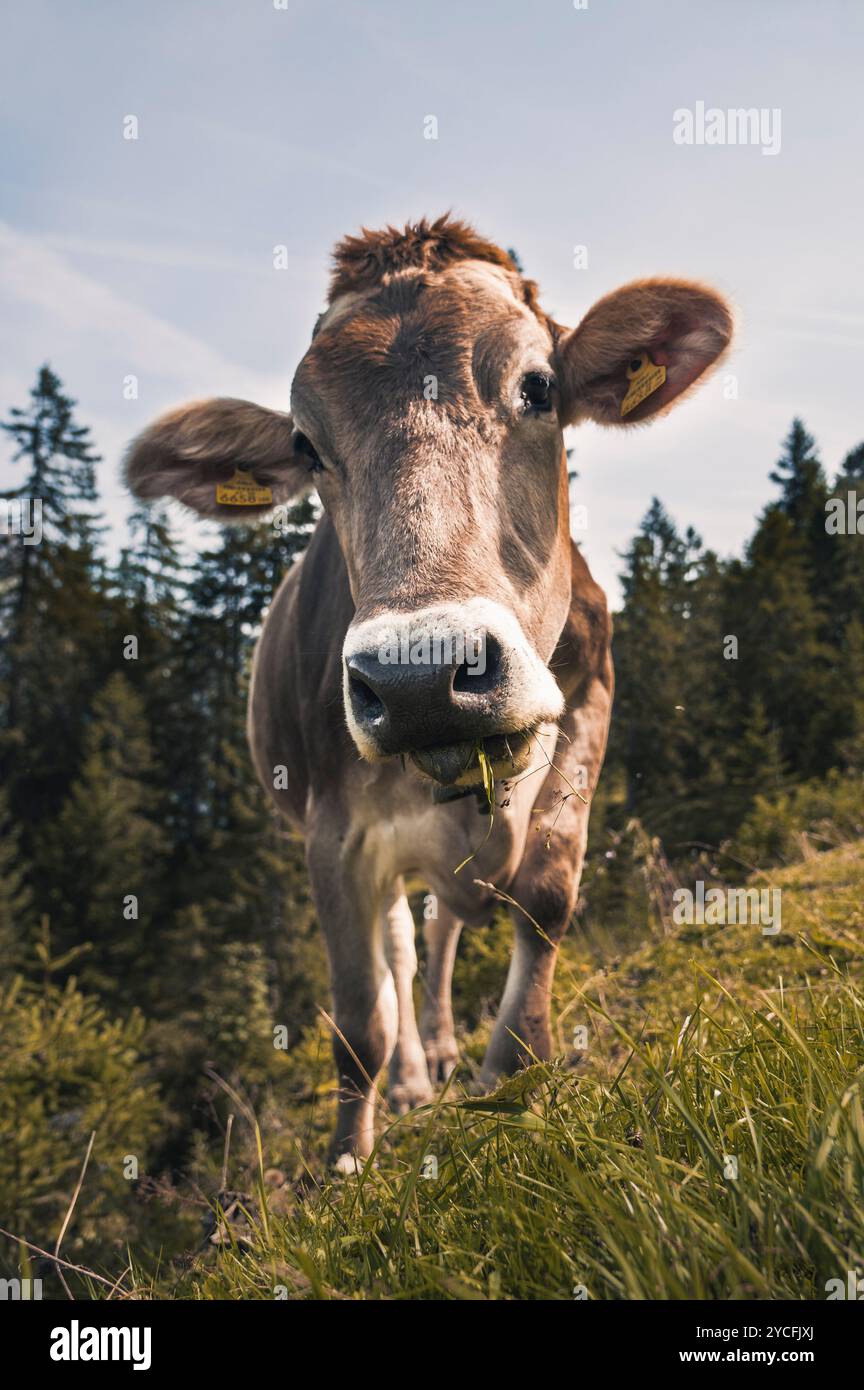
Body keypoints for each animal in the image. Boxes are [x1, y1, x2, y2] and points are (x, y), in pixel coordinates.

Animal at [127, 216, 738, 1167]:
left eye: (539, 387)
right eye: (304, 444)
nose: (420, 678)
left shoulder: (590, 708)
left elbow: (546, 897)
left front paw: (515, 1067)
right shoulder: (331, 831)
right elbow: (359, 1018)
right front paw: (349, 1157)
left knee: (447, 924)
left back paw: (451, 1050)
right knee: (404, 951)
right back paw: (416, 1077)